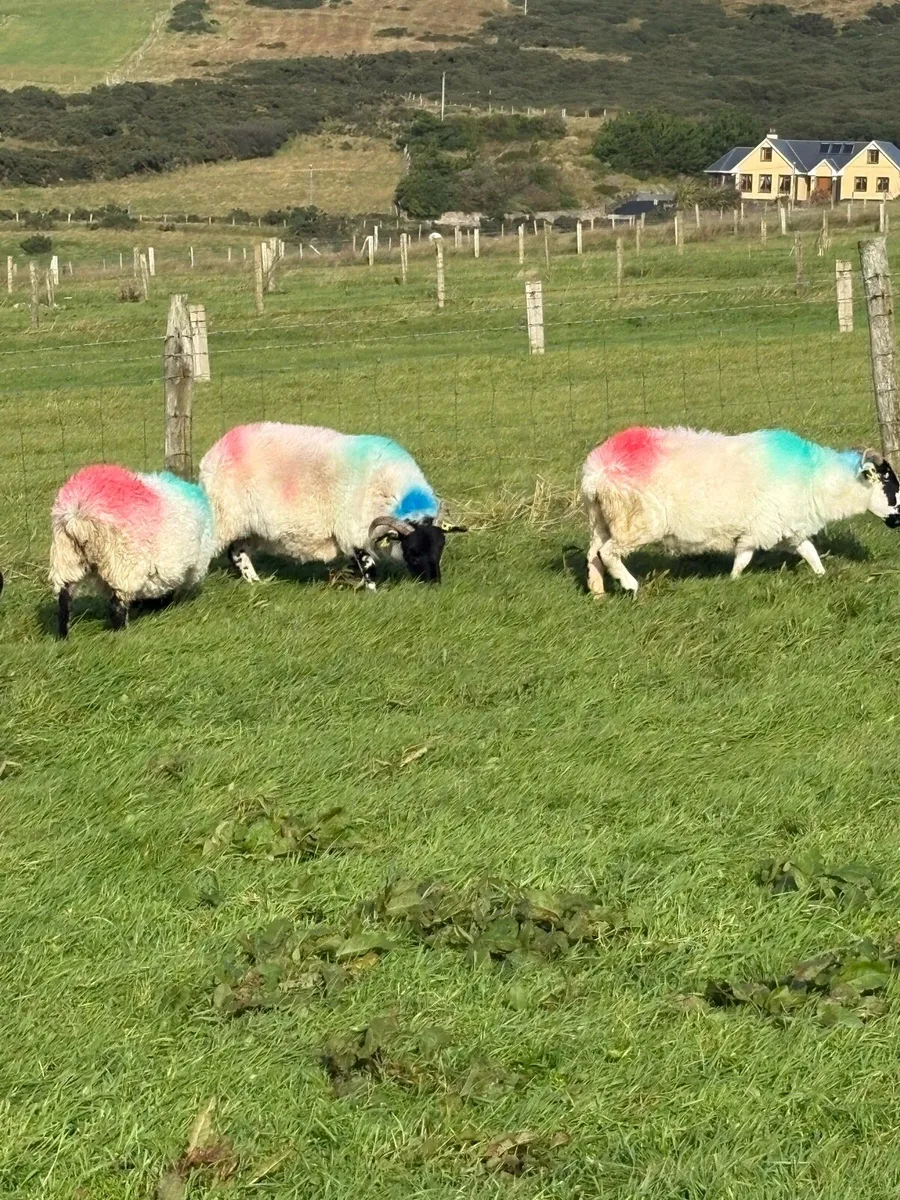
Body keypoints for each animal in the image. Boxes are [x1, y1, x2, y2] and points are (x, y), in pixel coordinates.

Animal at [49, 464, 215, 637]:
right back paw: (122, 632)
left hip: (66, 555)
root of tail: (77, 513)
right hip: (122, 562)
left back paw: (63, 636)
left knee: (64, 599)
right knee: (116, 605)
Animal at [199, 422, 466, 588]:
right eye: (412, 551)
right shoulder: (354, 531)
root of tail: (214, 452)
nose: (434, 583)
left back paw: (255, 581)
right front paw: (371, 591)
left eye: (440, 549)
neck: (392, 491)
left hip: (249, 525)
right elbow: (369, 567)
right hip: (225, 516)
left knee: (238, 551)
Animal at [582, 426, 900, 596]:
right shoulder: (762, 527)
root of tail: (595, 472)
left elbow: (809, 552)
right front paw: (733, 581)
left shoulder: (787, 526)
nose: (898, 521)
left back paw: (598, 592)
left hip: (603, 520)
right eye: (889, 483)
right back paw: (631, 585)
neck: (816, 479)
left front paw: (822, 576)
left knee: (593, 554)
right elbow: (743, 558)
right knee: (609, 553)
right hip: (637, 521)